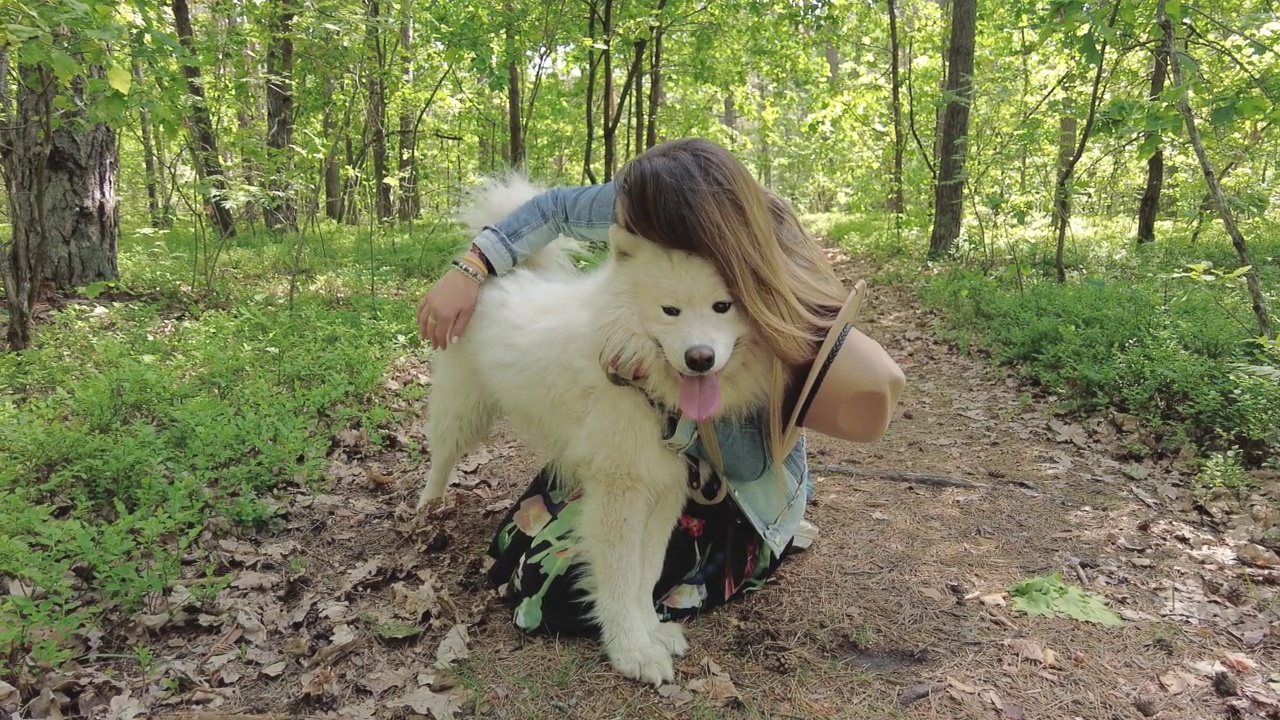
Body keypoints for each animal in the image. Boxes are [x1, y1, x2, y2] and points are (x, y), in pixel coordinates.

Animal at [414, 175, 768, 681]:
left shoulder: (664, 489)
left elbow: (646, 574)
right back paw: (427, 507)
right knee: (441, 454)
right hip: (464, 410)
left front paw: (651, 631)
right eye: (670, 311)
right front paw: (630, 650)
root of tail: (502, 278)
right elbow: (619, 578)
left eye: (723, 306)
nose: (700, 358)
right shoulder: (619, 491)